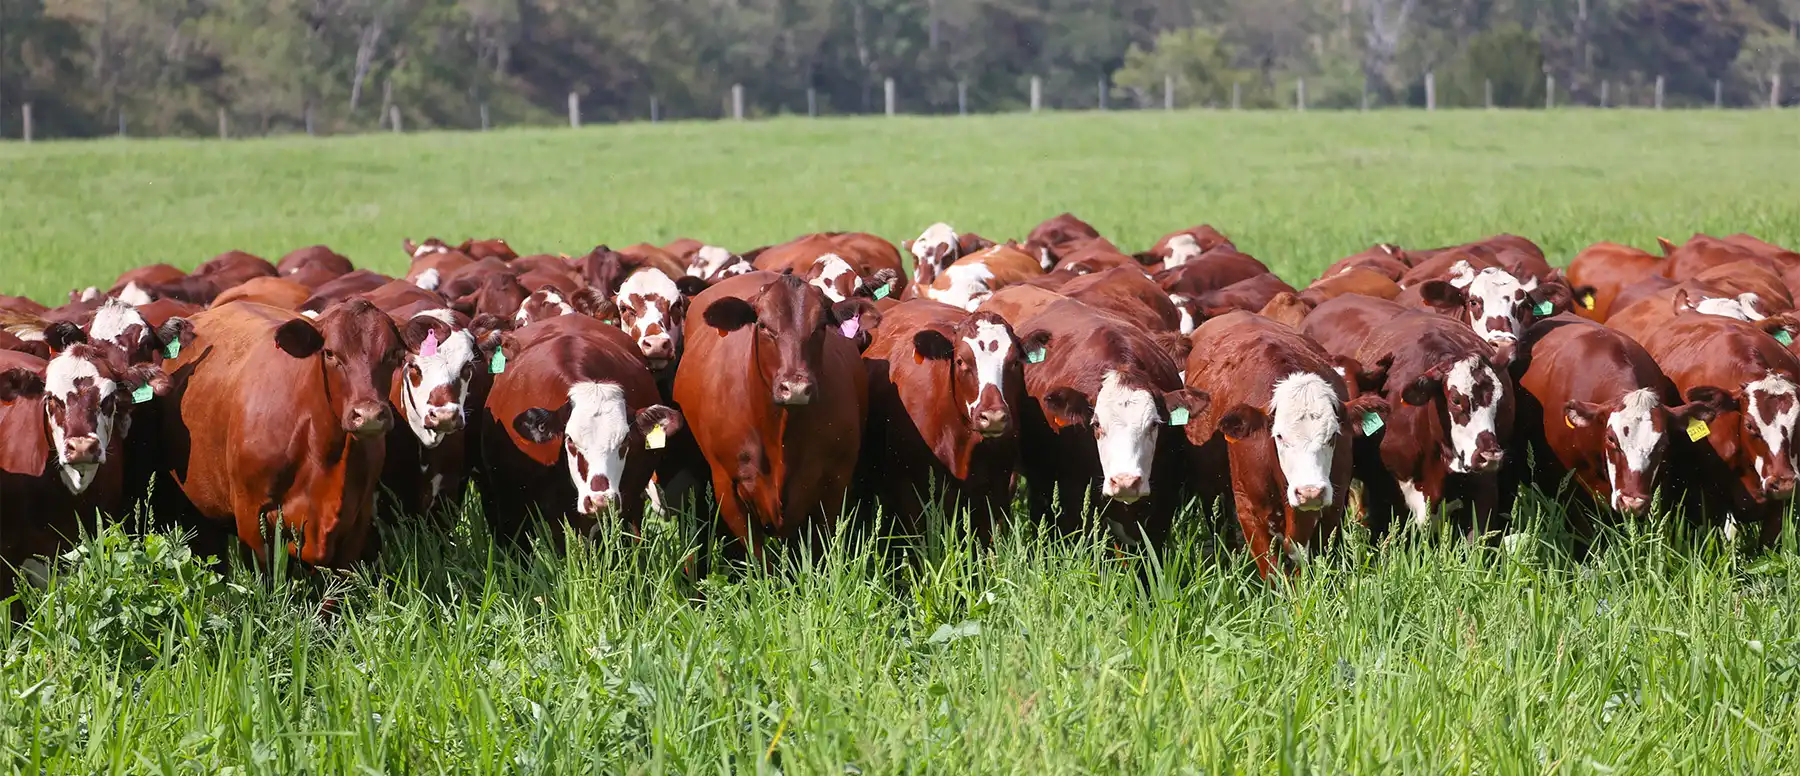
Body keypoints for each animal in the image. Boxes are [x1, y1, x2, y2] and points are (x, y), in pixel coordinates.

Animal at [672, 272, 877, 559]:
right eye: (763, 326)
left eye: (820, 326)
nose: (795, 387)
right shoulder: (727, 486)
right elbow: (758, 559)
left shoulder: (835, 484)